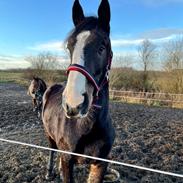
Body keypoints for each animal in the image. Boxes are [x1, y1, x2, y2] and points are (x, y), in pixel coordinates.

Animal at [42, 0, 115, 182]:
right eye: (69, 47)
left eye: (102, 47)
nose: (73, 103)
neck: (86, 127)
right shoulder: (68, 159)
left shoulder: (100, 164)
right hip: (49, 134)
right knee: (52, 150)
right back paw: (49, 172)